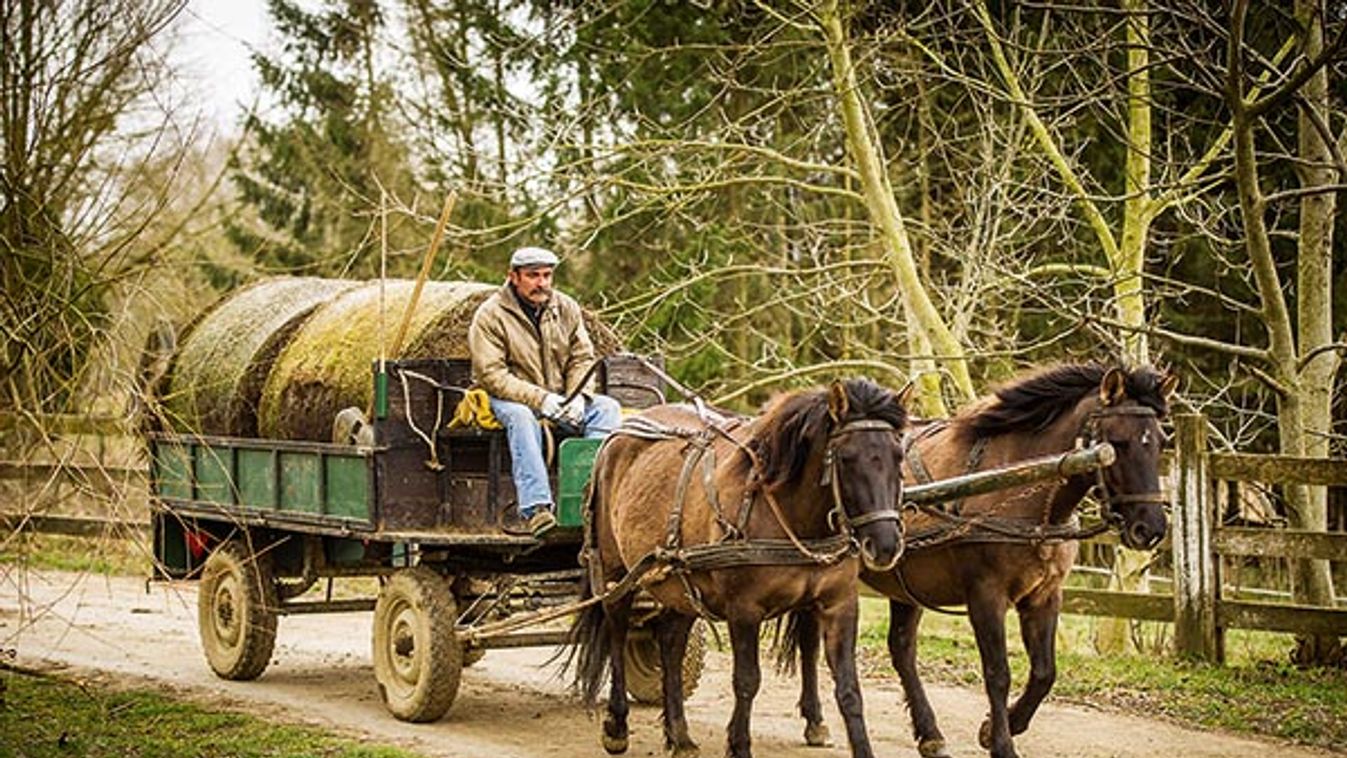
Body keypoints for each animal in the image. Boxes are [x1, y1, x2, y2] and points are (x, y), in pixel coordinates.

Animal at [563, 379, 921, 758]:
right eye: (846, 458)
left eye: (899, 456)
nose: (885, 545)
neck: (792, 514)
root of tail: (617, 435)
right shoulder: (744, 609)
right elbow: (747, 681)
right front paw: (738, 745)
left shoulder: (839, 604)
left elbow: (849, 688)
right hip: (615, 573)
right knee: (616, 634)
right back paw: (617, 725)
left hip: (679, 581)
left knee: (670, 642)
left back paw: (680, 735)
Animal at [786, 360, 1174, 758]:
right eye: (1118, 443)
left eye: (1161, 442)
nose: (1151, 528)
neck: (1020, 486)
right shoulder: (986, 594)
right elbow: (998, 673)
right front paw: (1001, 743)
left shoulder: (1045, 596)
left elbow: (1044, 672)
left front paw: (998, 728)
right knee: (812, 641)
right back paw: (817, 721)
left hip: (901, 585)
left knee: (900, 649)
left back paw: (928, 732)